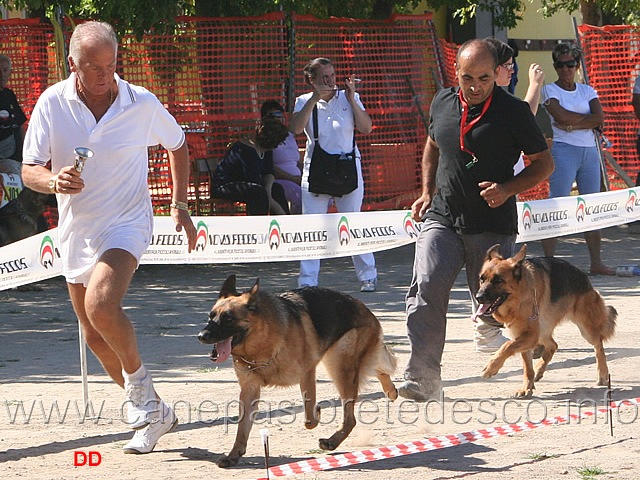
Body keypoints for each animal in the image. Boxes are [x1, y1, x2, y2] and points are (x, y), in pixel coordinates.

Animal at [196, 276, 396, 466]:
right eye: (210, 316)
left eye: (228, 318)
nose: (201, 336)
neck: (263, 343)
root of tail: (361, 305)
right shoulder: (249, 390)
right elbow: (242, 428)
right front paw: (234, 455)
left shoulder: (307, 375)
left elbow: (310, 418)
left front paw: (317, 411)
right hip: (340, 363)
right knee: (379, 368)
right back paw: (391, 390)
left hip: (340, 366)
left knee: (350, 417)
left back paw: (332, 441)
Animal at [476, 244, 616, 398]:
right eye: (482, 279)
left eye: (498, 281)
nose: (478, 297)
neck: (519, 296)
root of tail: (584, 276)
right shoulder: (524, 336)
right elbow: (526, 367)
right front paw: (526, 387)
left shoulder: (529, 336)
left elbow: (507, 345)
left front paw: (491, 367)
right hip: (543, 331)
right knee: (553, 345)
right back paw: (538, 369)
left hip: (586, 330)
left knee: (598, 346)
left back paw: (603, 374)